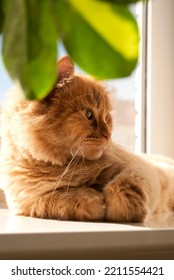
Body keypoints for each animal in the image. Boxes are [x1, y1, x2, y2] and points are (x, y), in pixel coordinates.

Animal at [1, 56, 174, 223]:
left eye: (106, 118)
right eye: (89, 115)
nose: (108, 135)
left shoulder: (140, 169)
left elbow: (124, 186)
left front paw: (118, 207)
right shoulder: (26, 201)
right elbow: (56, 200)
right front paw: (93, 201)